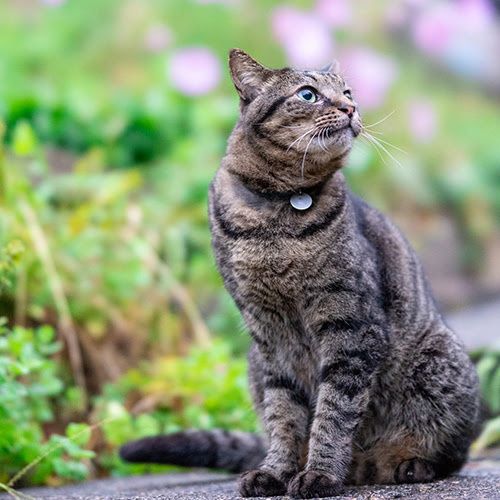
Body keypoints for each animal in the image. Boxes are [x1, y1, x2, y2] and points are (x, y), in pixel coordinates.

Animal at [119, 48, 482, 498]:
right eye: (308, 94)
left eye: (347, 92)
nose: (350, 108)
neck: (281, 209)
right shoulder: (270, 336)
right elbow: (284, 416)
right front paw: (277, 471)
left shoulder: (351, 327)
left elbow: (333, 410)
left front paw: (320, 473)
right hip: (254, 363)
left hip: (438, 363)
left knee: (450, 454)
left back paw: (407, 464)